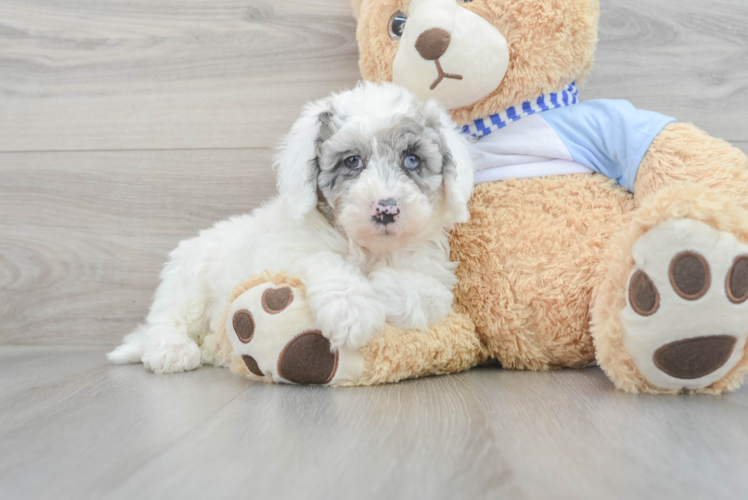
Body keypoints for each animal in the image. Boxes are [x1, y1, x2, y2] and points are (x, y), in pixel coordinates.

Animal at [107, 81, 474, 372]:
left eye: (412, 159)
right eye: (352, 161)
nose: (386, 209)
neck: (368, 248)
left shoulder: (433, 270)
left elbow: (430, 293)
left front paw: (381, 285)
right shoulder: (285, 255)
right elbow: (324, 260)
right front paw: (352, 307)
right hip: (188, 280)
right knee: (165, 320)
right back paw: (172, 350)